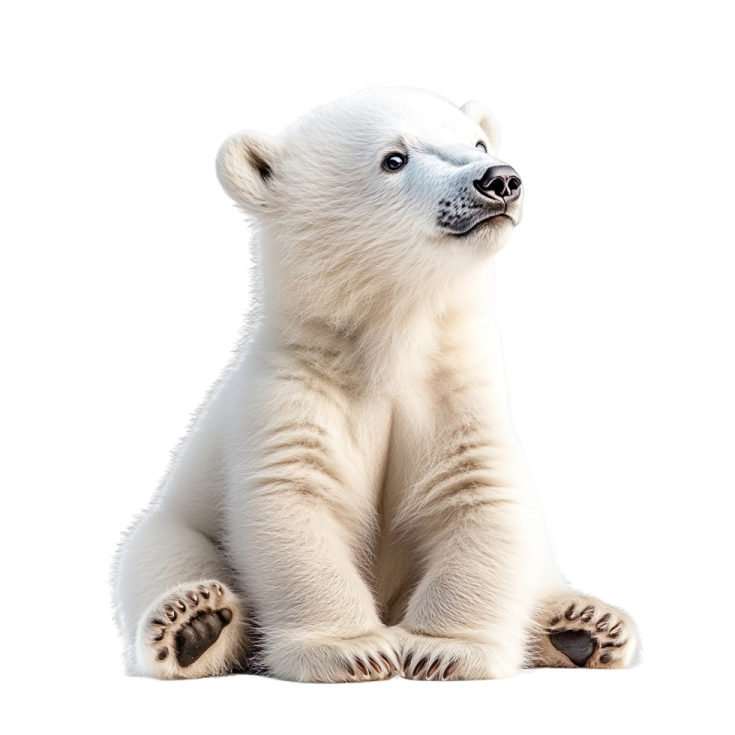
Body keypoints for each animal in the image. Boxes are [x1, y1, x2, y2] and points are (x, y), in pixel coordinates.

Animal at [112, 85, 642, 682]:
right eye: (395, 158)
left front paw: (441, 651)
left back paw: (582, 626)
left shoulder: (458, 386)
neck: (390, 342)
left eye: (478, 143)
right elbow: (295, 498)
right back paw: (194, 626)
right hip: (176, 523)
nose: (499, 179)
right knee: (160, 553)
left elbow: (478, 491)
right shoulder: (293, 387)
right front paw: (354, 651)